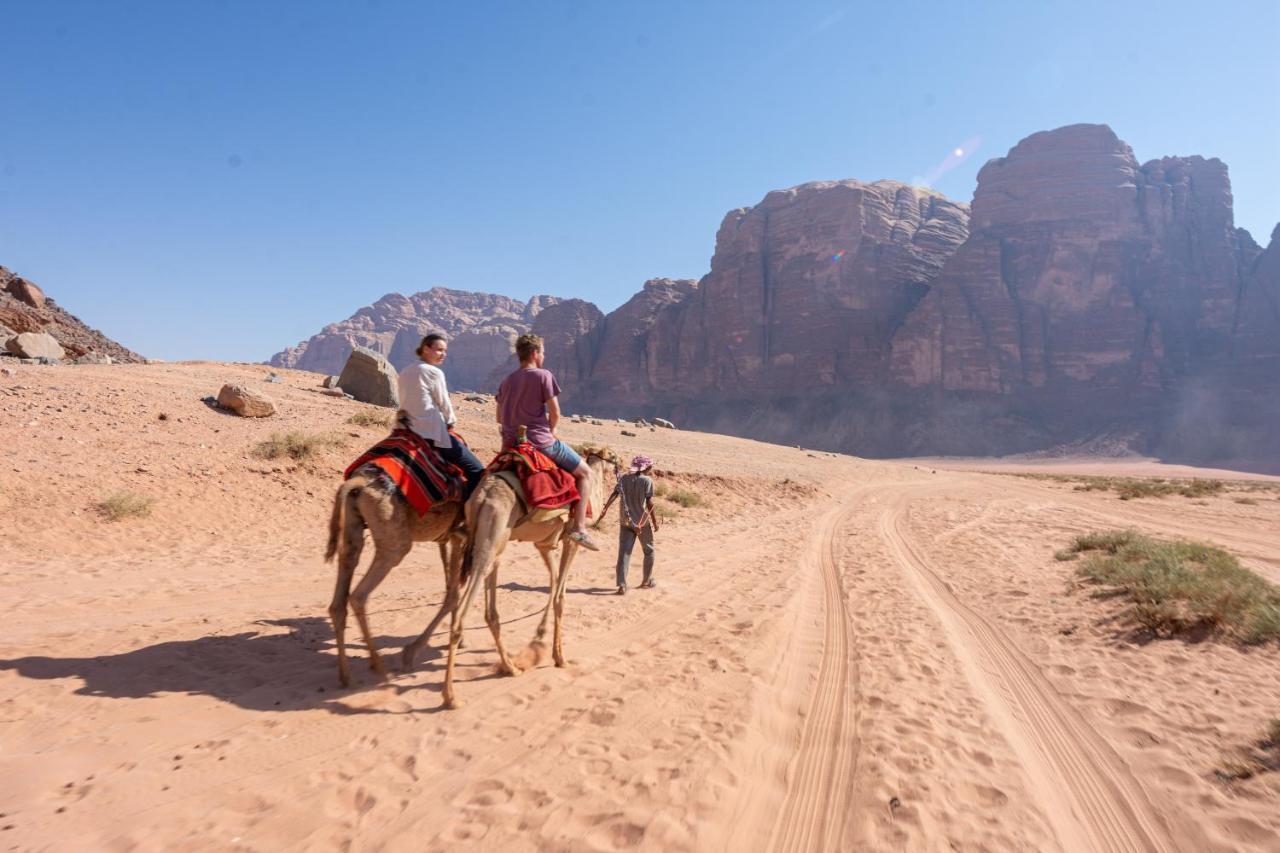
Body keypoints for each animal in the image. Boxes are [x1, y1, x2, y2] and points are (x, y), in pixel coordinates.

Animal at [322, 461, 468, 686]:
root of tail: (359, 482)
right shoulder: (462, 536)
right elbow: (455, 591)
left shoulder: (448, 538)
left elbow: (451, 586)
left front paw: (459, 640)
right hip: (394, 540)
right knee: (359, 595)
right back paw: (380, 668)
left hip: (352, 526)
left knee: (341, 593)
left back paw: (345, 676)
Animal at [401, 440, 616, 706]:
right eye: (613, 457)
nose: (622, 465)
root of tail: (483, 496)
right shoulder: (570, 540)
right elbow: (560, 596)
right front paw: (559, 656)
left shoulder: (544, 545)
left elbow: (554, 582)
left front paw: (540, 638)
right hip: (492, 538)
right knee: (464, 607)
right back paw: (451, 695)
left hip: (481, 540)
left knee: (472, 603)